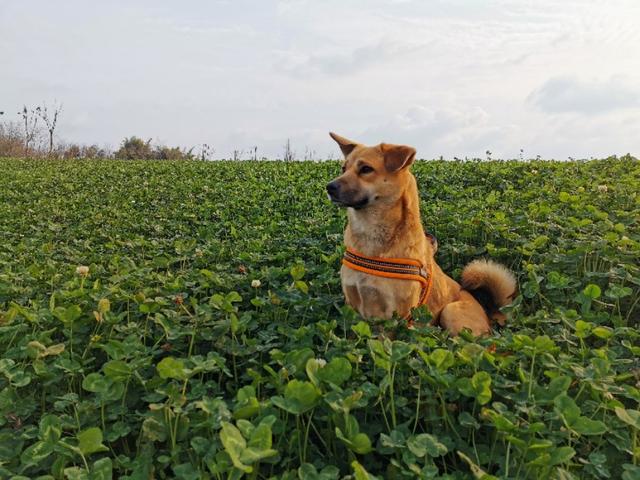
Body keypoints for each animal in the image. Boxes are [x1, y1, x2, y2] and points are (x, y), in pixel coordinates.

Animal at [328, 130, 516, 334]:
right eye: (343, 168)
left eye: (366, 169)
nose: (329, 187)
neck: (370, 235)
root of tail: (490, 314)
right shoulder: (352, 306)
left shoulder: (395, 316)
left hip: (451, 312)